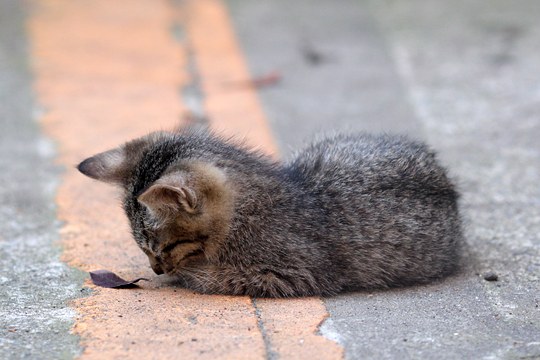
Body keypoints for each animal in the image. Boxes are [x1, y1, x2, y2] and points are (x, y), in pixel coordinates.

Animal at [78, 128, 462, 296]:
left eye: (165, 247)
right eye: (143, 248)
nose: (155, 269)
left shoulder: (296, 274)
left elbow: (214, 277)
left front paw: (188, 273)